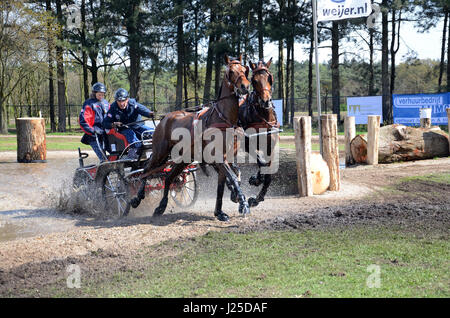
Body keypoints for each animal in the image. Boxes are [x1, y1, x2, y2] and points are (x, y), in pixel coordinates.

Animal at [128, 54, 251, 221]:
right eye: (231, 71)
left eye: (244, 69)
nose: (245, 86)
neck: (224, 119)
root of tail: (165, 118)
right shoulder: (218, 157)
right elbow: (231, 177)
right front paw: (243, 203)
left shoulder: (228, 157)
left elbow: (225, 182)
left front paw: (220, 211)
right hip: (160, 153)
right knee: (147, 169)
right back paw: (137, 197)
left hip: (183, 158)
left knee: (168, 177)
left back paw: (161, 206)